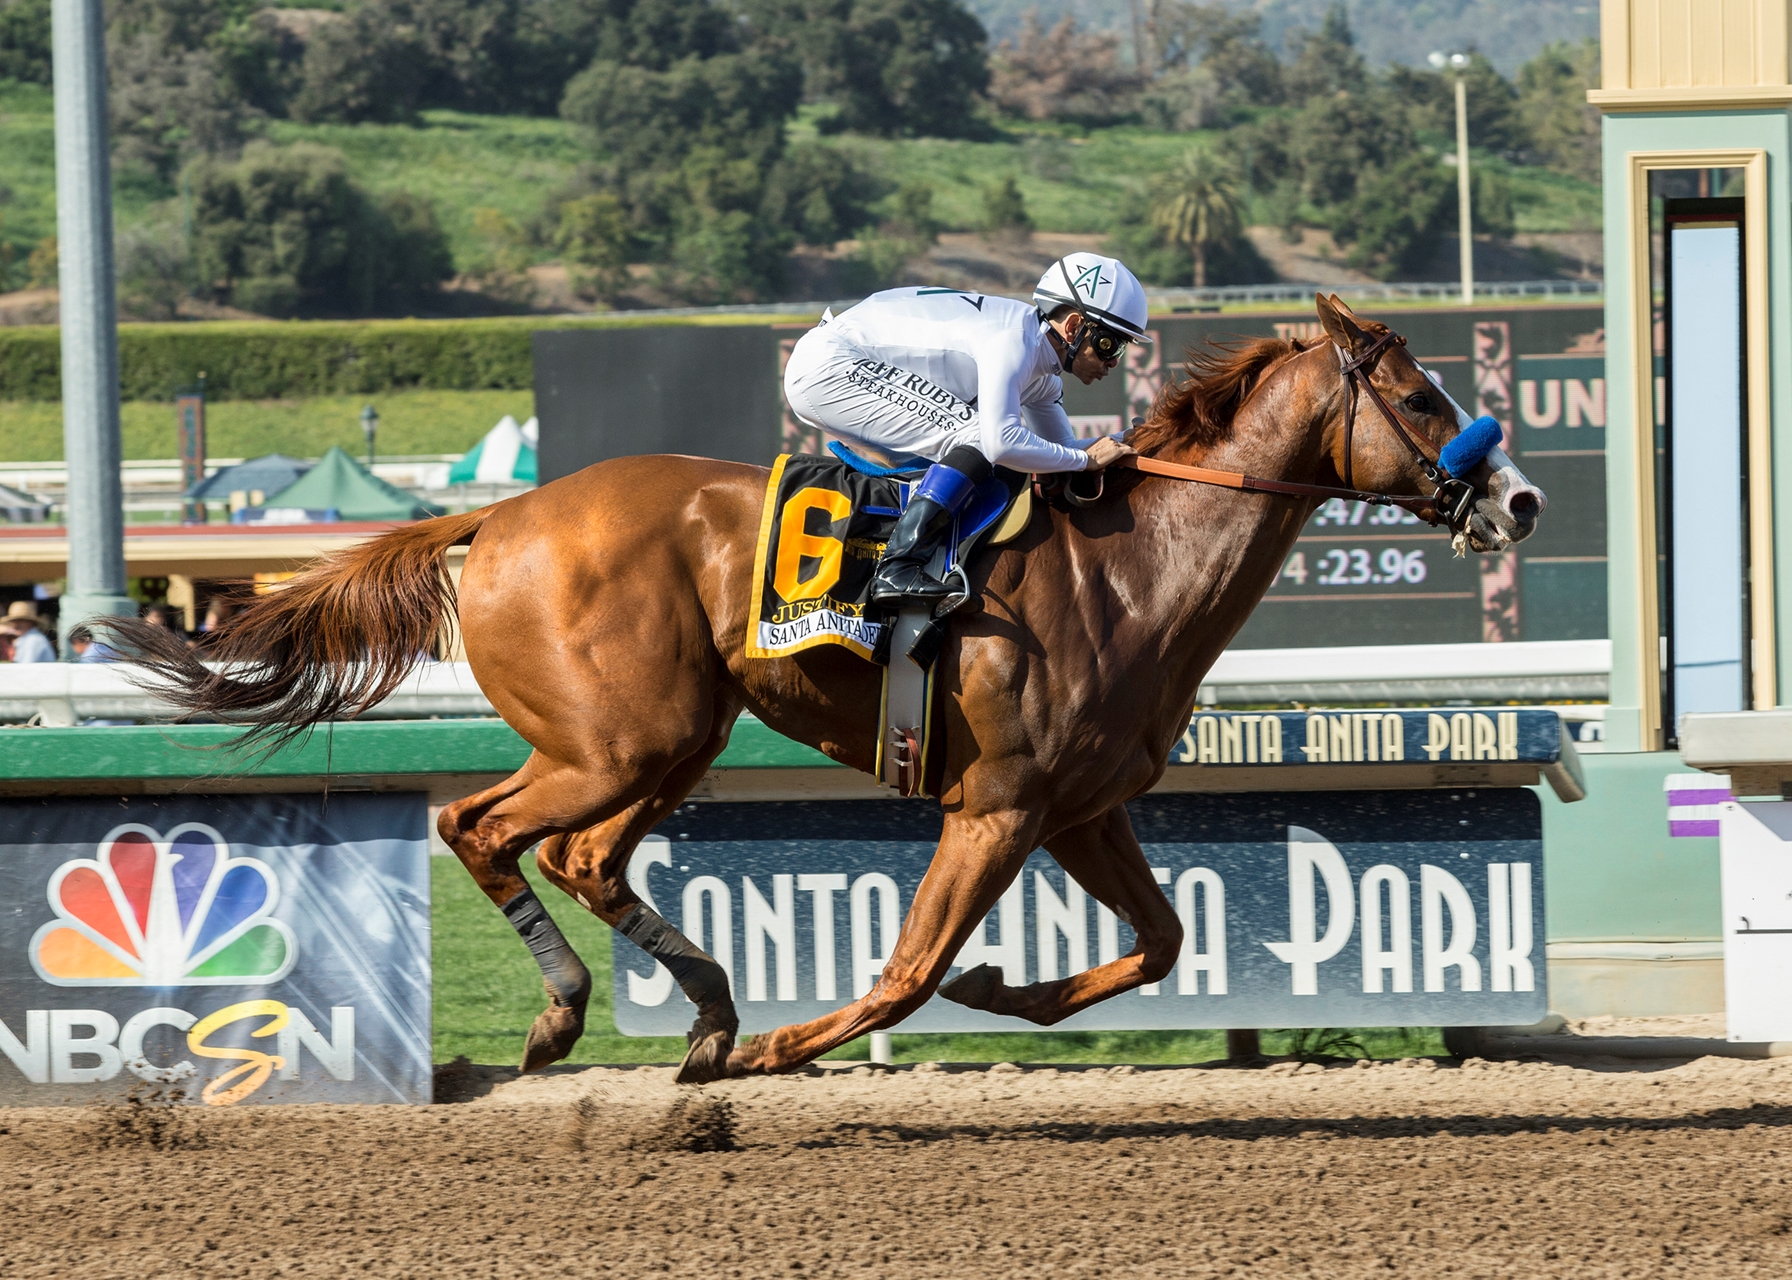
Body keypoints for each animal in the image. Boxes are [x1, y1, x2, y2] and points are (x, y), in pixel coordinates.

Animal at [112, 292, 1541, 1075]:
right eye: (1421, 394)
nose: (1520, 500)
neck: (1135, 568)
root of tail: (501, 513)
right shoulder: (997, 804)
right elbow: (907, 968)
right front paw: (787, 1051)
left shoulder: (1080, 805)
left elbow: (1159, 940)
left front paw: (1002, 992)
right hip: (620, 739)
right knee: (480, 826)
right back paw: (585, 1015)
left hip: (668, 736)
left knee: (579, 855)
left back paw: (696, 1008)